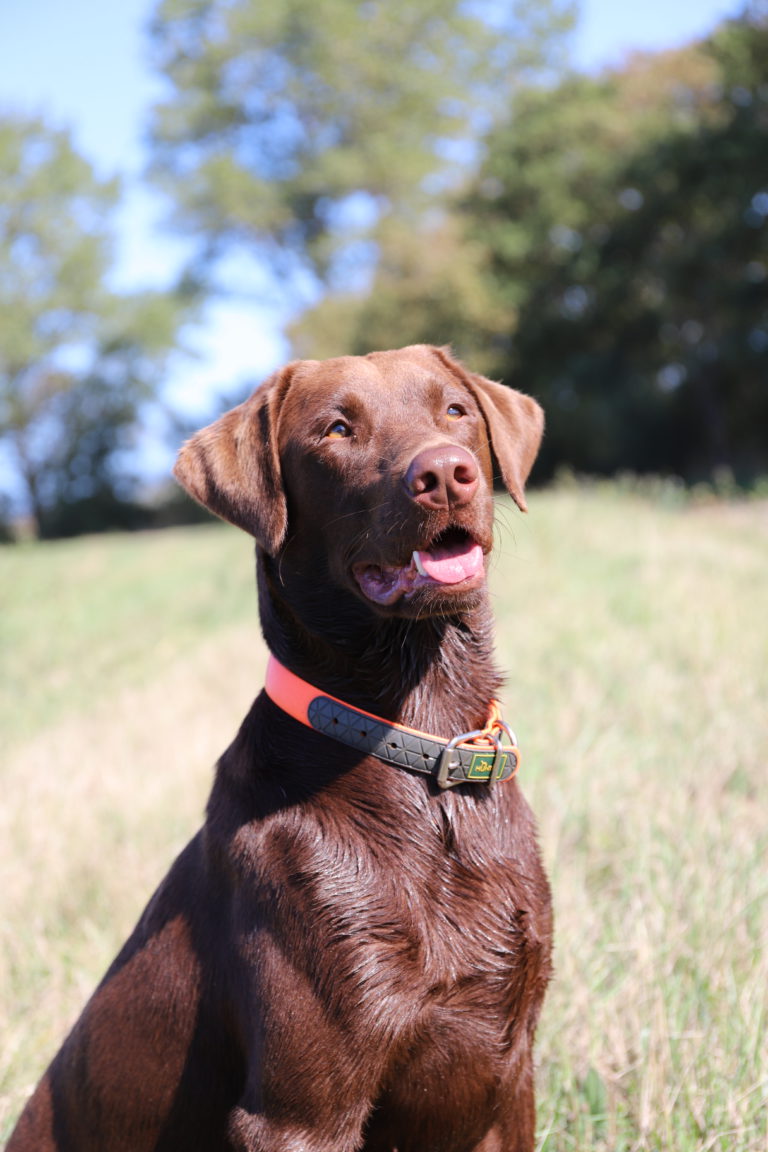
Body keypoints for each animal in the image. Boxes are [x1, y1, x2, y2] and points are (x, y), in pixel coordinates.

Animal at [9, 345, 552, 1152]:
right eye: (336, 429)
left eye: (455, 410)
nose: (447, 472)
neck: (422, 741)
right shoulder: (302, 1110)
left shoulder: (509, 1073)